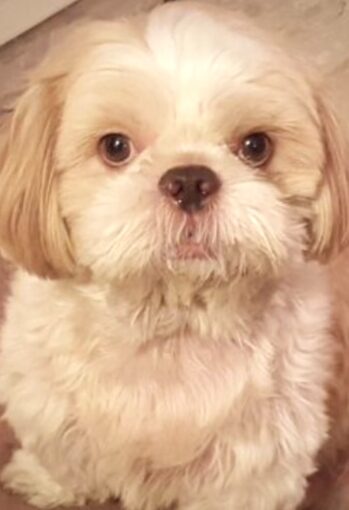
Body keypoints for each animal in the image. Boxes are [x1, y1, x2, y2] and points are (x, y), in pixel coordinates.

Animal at [0, 0, 346, 510]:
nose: (189, 180)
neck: (171, 323)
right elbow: (66, 460)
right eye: (115, 147)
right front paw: (42, 481)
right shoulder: (47, 407)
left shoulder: (254, 468)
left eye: (256, 146)